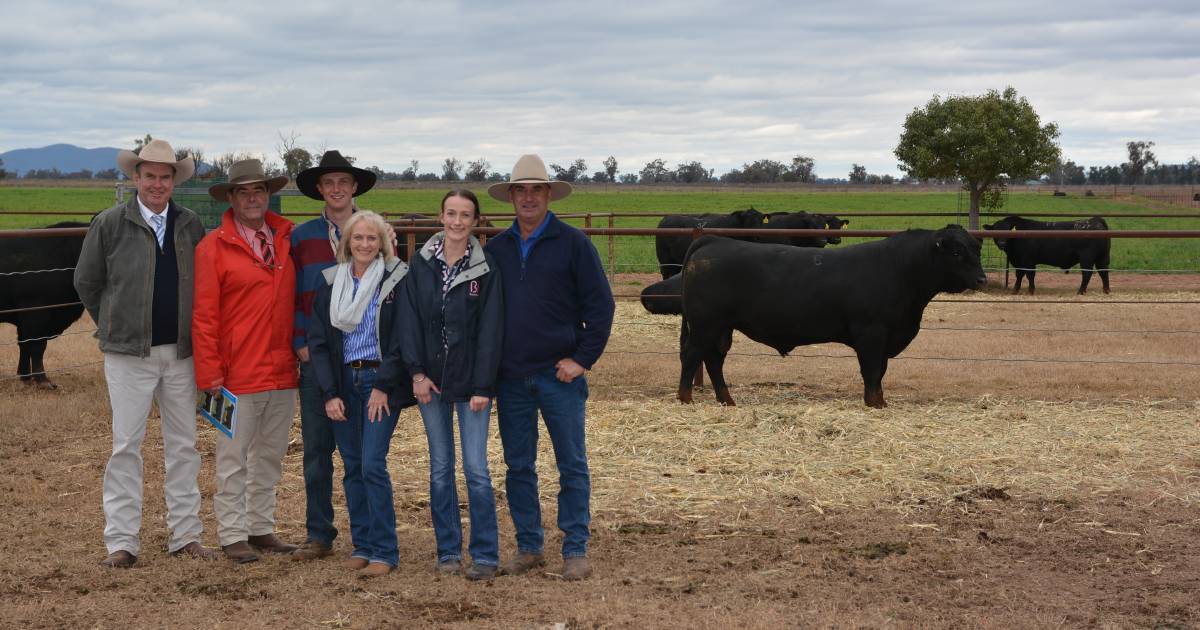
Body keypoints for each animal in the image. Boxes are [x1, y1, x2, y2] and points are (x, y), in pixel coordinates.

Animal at [676, 225, 984, 408]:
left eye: (976, 249)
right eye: (957, 252)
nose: (981, 279)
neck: (900, 270)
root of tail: (713, 239)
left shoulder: (886, 336)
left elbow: (880, 371)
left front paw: (880, 402)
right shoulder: (871, 332)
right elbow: (872, 370)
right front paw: (874, 404)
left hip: (721, 328)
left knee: (714, 360)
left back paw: (727, 400)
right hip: (705, 324)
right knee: (692, 355)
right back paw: (685, 398)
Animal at [979, 214, 1108, 294]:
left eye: (1007, 230)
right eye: (995, 231)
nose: (1002, 243)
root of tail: (1095, 220)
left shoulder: (1028, 260)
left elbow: (1029, 275)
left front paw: (1030, 291)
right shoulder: (1019, 261)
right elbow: (1019, 275)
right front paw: (1015, 290)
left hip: (1087, 258)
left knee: (1087, 274)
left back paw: (1080, 291)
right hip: (1102, 257)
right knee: (1104, 272)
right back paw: (1106, 290)